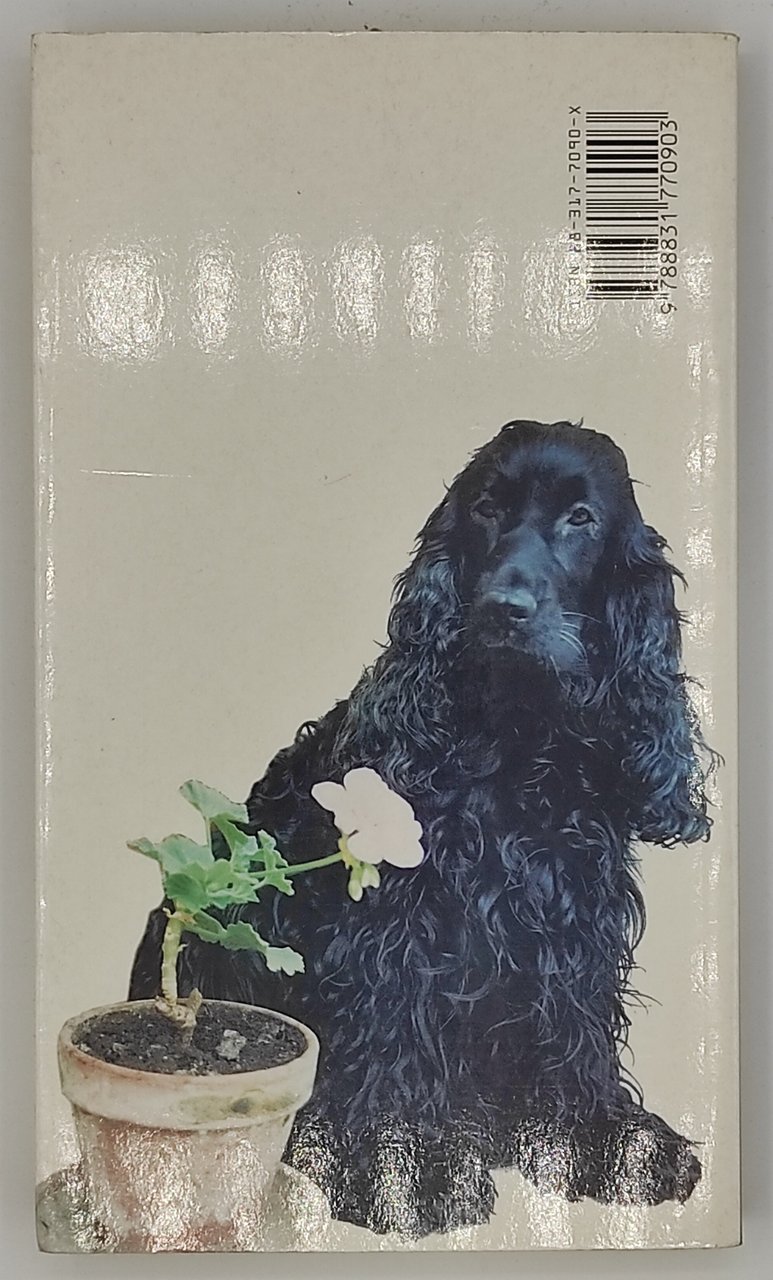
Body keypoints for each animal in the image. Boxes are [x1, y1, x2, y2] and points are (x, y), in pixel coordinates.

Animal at [130, 419, 716, 1236]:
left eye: (581, 519)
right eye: (487, 509)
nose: (505, 607)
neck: (516, 741)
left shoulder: (575, 919)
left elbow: (576, 1033)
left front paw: (604, 1142)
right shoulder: (399, 921)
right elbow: (397, 1028)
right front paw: (404, 1167)